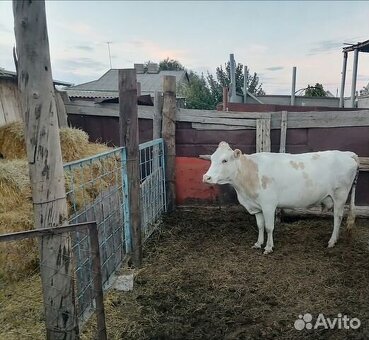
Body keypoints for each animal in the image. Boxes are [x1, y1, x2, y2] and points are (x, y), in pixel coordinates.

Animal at [203, 139, 358, 254]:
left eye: (224, 160)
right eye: (212, 159)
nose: (206, 177)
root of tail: (347, 154)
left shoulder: (268, 205)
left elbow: (269, 227)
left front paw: (268, 247)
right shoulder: (256, 207)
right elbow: (260, 225)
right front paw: (258, 243)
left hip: (340, 195)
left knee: (338, 217)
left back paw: (332, 241)